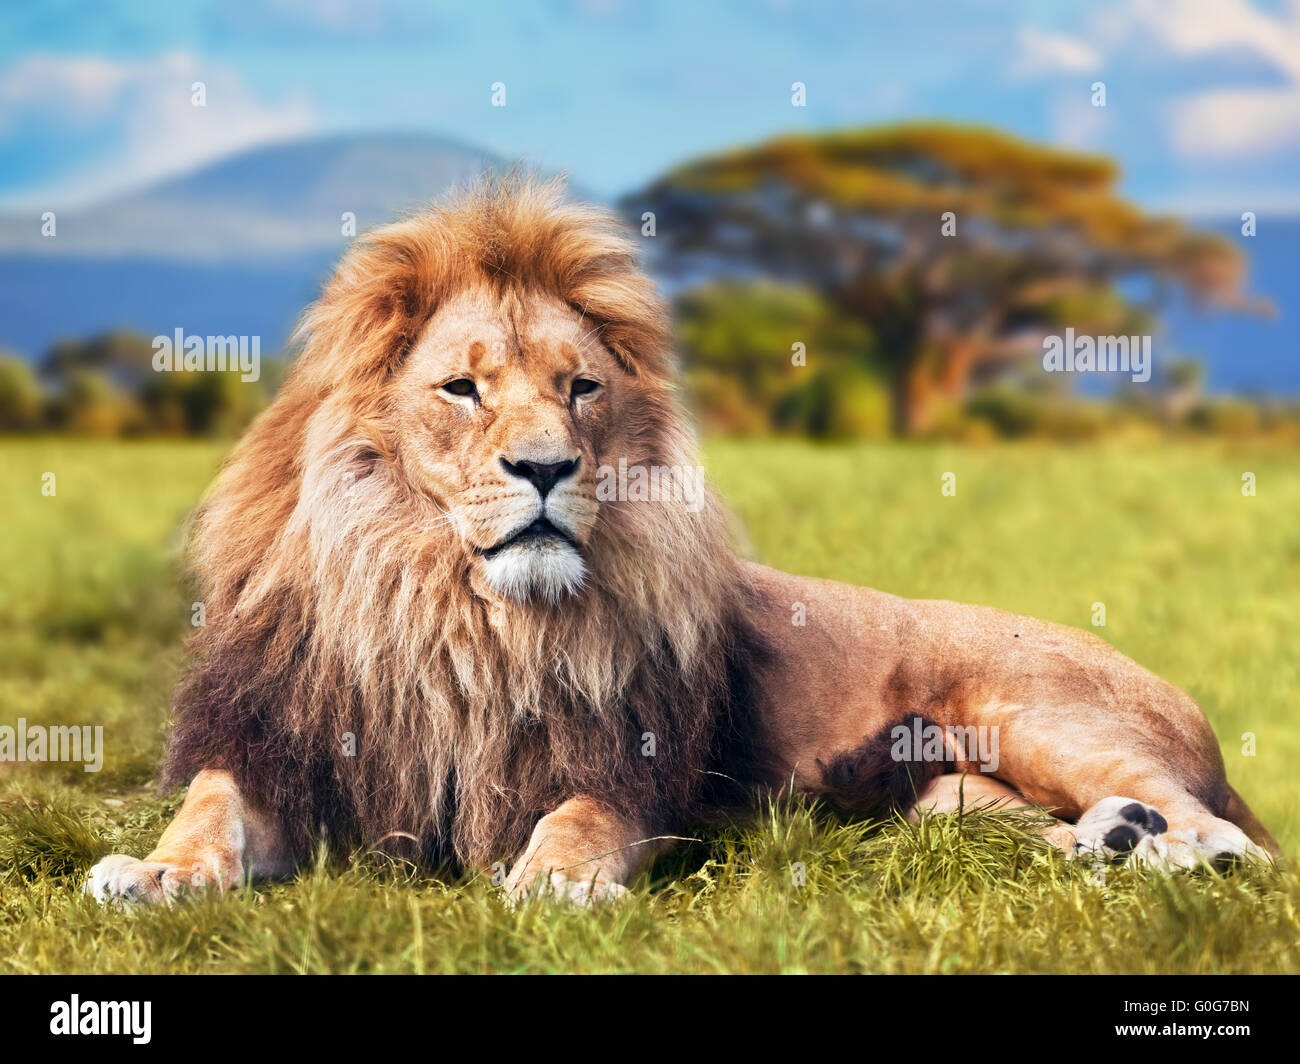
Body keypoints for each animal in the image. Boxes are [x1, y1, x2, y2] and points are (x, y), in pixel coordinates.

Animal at [83, 175, 1279, 905]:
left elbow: (577, 818)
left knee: (1226, 834)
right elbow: (208, 810)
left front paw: (554, 881)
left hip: (1038, 711)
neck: (456, 613)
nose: (546, 468)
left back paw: (1167, 848)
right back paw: (1110, 841)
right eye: (463, 389)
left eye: (580, 389)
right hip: (944, 799)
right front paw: (152, 873)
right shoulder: (279, 748)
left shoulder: (627, 769)